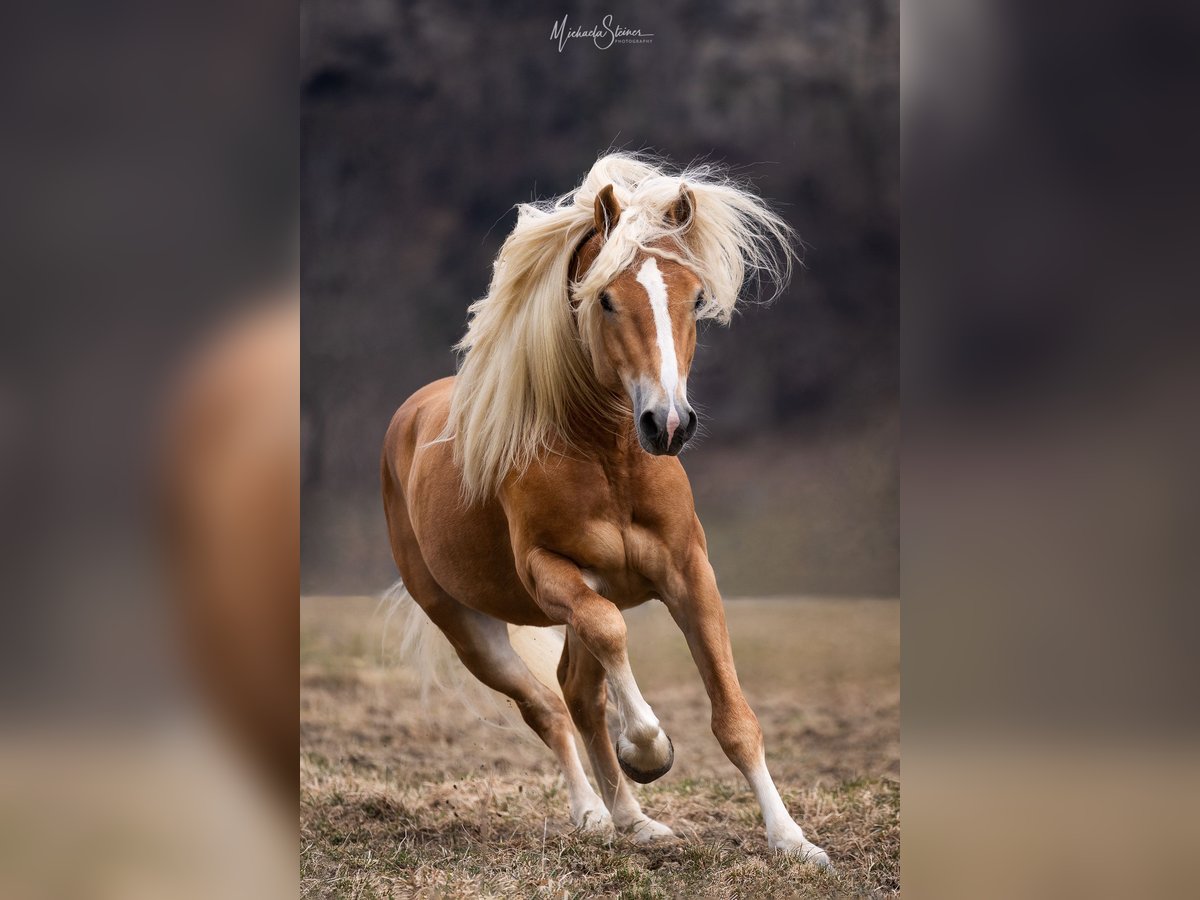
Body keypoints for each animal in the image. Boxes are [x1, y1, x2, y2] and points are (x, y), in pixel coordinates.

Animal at [379, 153, 830, 868]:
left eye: (693, 298)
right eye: (606, 298)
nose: (667, 424)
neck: (609, 461)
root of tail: (413, 413)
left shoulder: (688, 572)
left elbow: (735, 718)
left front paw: (793, 841)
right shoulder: (553, 574)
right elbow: (612, 642)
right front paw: (649, 750)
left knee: (576, 692)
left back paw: (635, 822)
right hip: (468, 626)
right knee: (549, 706)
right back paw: (595, 813)